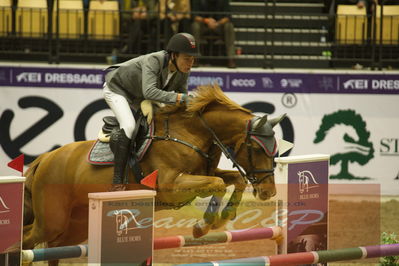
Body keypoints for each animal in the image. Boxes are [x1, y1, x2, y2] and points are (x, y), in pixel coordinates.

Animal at [21, 84, 286, 264]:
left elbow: (234, 179)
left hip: (73, 227)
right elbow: (218, 182)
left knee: (50, 248)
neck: (191, 133)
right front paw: (203, 225)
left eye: (275, 150)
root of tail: (44, 159)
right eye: (255, 149)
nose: (268, 192)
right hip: (52, 222)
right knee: (26, 241)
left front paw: (223, 217)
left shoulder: (204, 173)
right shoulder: (170, 187)